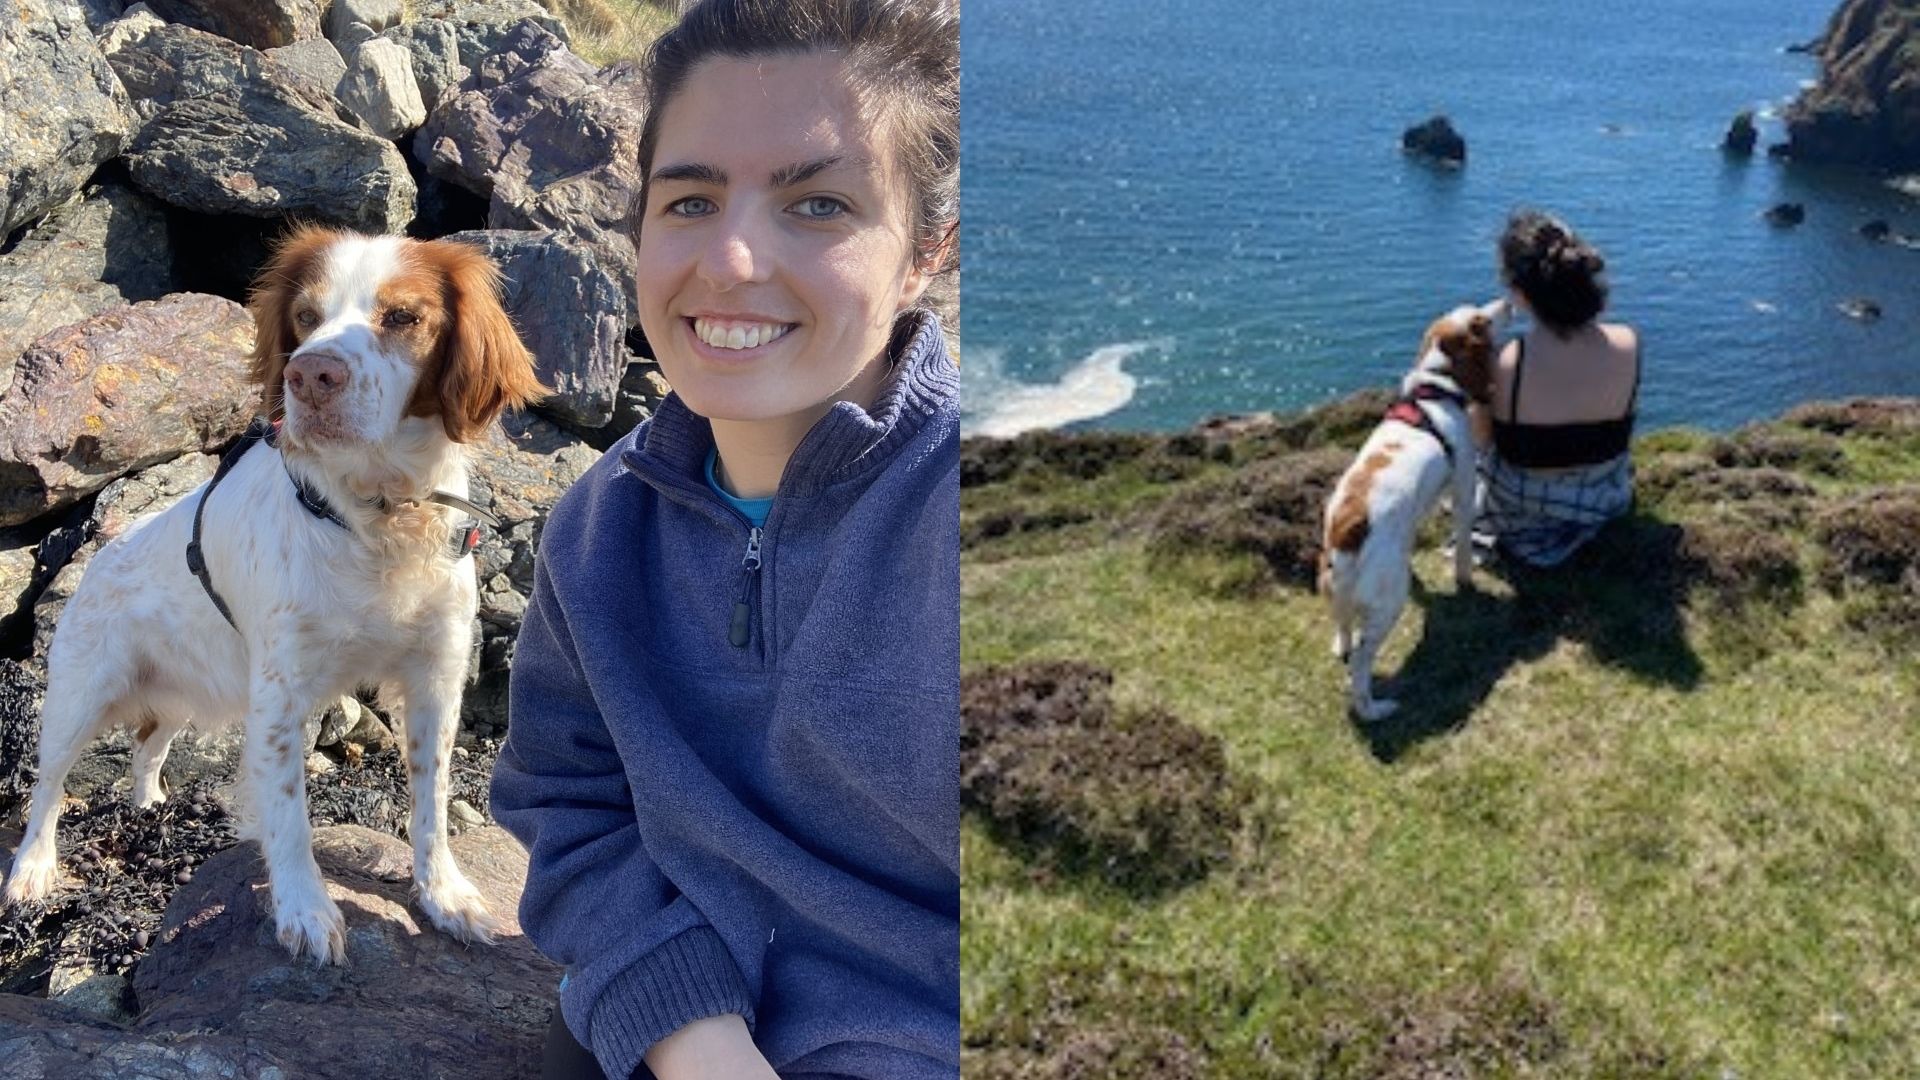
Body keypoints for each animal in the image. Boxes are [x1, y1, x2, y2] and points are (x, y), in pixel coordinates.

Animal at [5, 228, 549, 957]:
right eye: (305, 317)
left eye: (403, 317)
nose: (310, 376)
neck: (374, 517)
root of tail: (99, 554)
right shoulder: (281, 691)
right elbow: (289, 812)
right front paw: (304, 909)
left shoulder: (436, 676)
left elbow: (431, 800)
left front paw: (446, 895)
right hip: (78, 697)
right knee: (47, 790)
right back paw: (32, 870)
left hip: (183, 694)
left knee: (148, 748)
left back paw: (151, 805)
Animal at [1320, 297, 1497, 718]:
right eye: (1480, 319)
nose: (1504, 304)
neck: (1434, 393)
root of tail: (1348, 528)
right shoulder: (1464, 484)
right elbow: (1463, 546)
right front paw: (1465, 582)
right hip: (1387, 606)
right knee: (1362, 663)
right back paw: (1374, 709)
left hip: (1334, 586)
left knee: (1344, 629)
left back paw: (1341, 645)